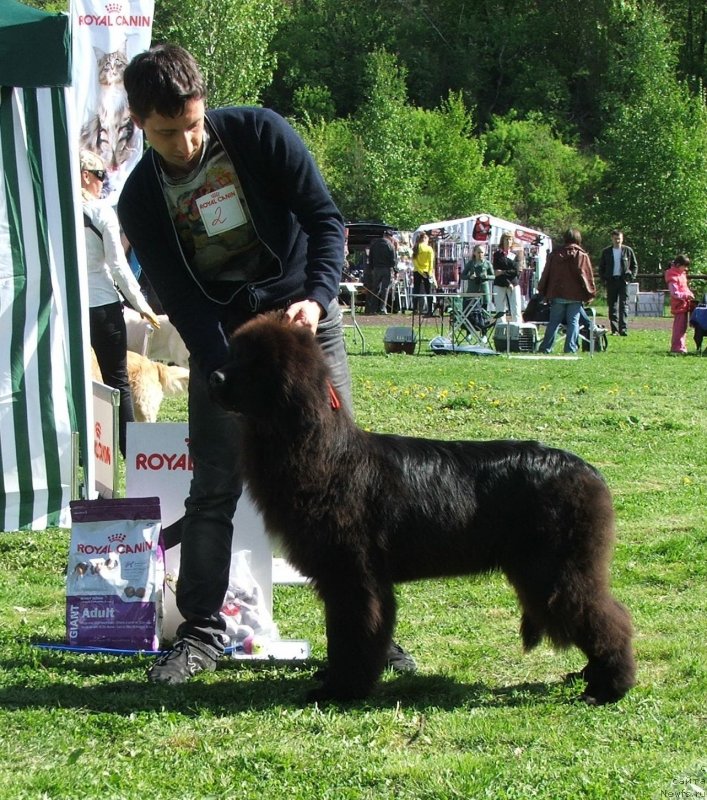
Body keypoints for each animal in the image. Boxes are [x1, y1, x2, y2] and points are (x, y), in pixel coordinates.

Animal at [210, 312, 636, 708]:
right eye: (234, 353)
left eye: (255, 362)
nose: (213, 377)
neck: (323, 454)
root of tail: (589, 471)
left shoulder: (353, 575)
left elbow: (351, 635)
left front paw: (342, 690)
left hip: (555, 571)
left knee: (607, 617)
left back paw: (608, 687)